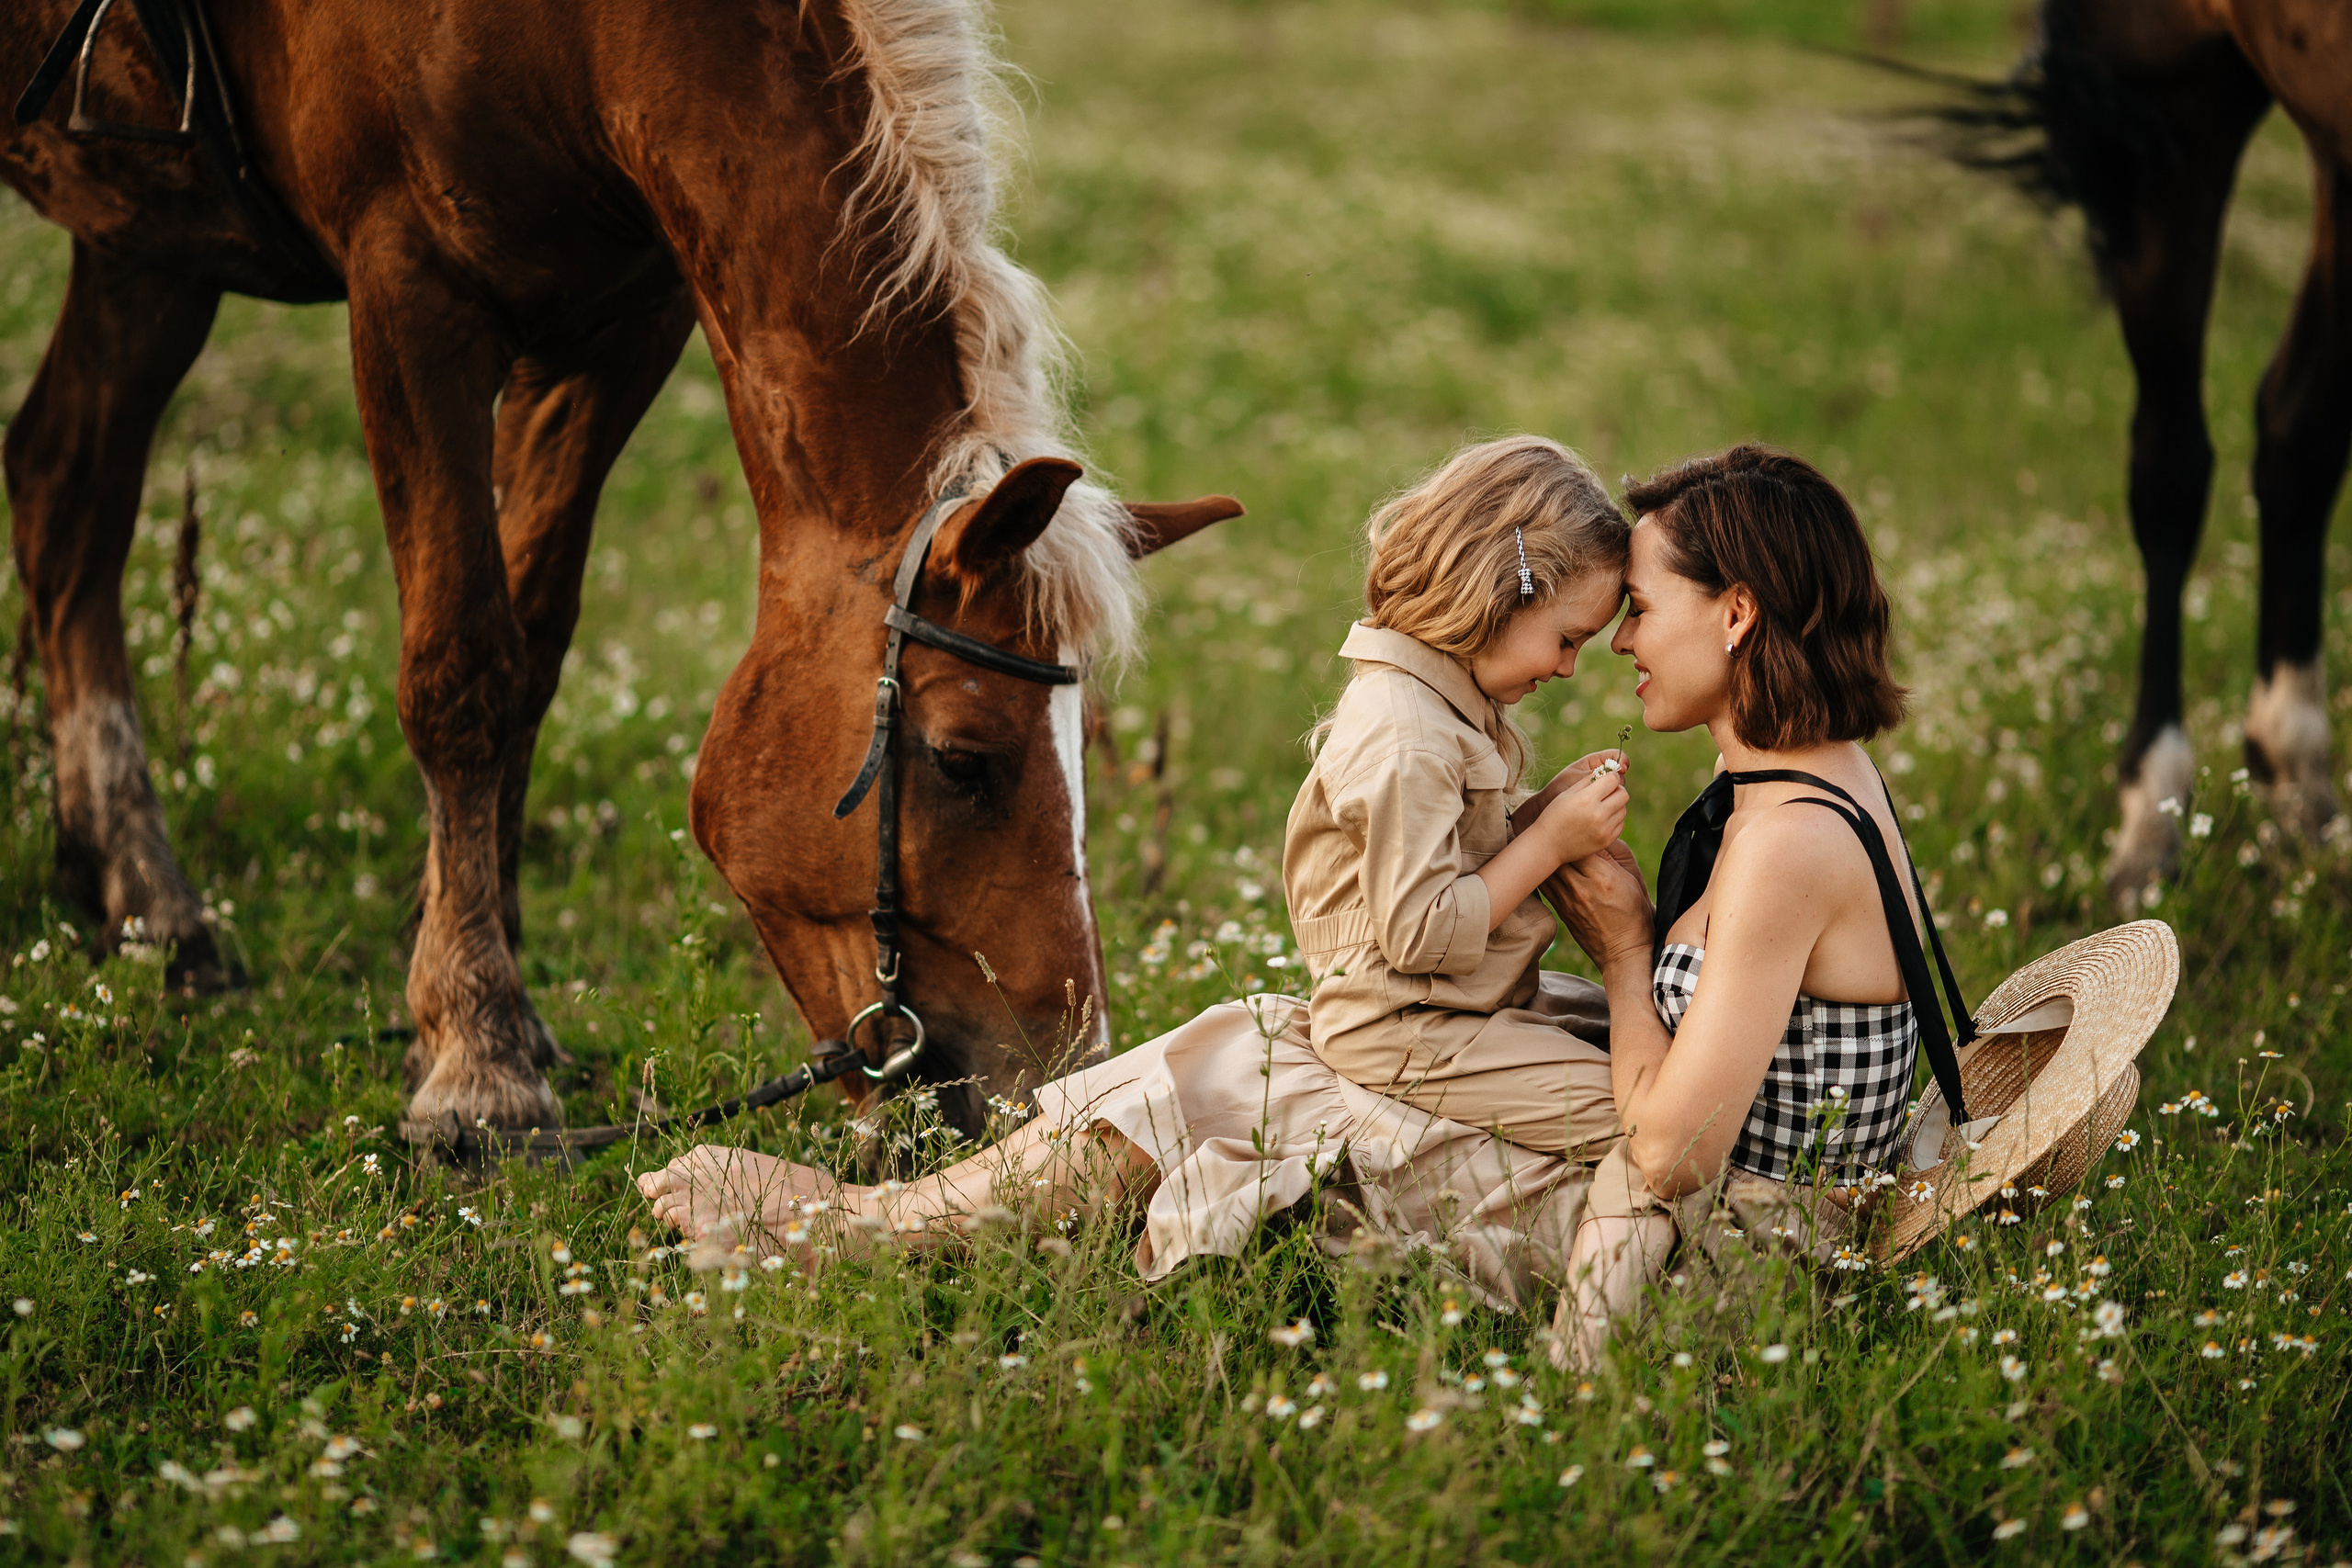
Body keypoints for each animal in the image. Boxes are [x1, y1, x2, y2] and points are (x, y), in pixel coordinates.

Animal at [0, 0, 1239, 1139]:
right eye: (963, 760)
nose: (1058, 1079)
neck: (580, 35)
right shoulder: (409, 291)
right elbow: (462, 671)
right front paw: (480, 1064)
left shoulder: (623, 325)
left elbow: (531, 650)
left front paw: (479, 1003)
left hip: (143, 233)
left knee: (65, 493)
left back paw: (132, 894)